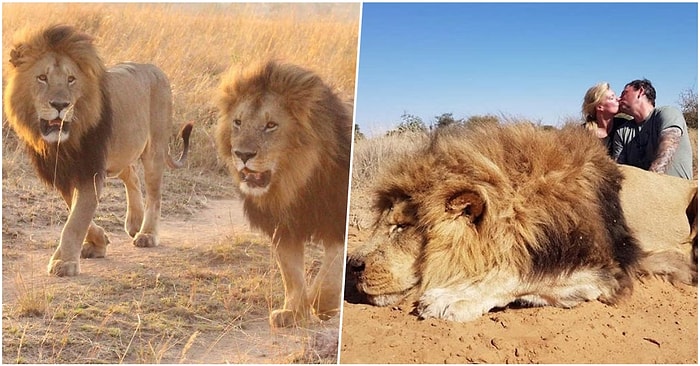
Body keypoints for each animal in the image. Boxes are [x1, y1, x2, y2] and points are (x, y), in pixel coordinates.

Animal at [3, 24, 191, 276]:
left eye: (71, 79)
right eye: (42, 78)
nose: (61, 105)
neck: (63, 143)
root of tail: (155, 69)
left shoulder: (89, 169)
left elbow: (76, 220)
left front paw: (65, 262)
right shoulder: (64, 172)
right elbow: (75, 211)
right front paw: (98, 242)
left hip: (154, 148)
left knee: (154, 193)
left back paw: (147, 234)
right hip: (118, 154)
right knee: (131, 174)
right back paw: (134, 221)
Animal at [216, 60, 352, 328]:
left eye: (271, 125)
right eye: (238, 122)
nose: (242, 154)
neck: (297, 182)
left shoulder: (338, 219)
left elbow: (332, 265)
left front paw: (322, 304)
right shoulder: (282, 226)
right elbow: (291, 273)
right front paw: (293, 313)